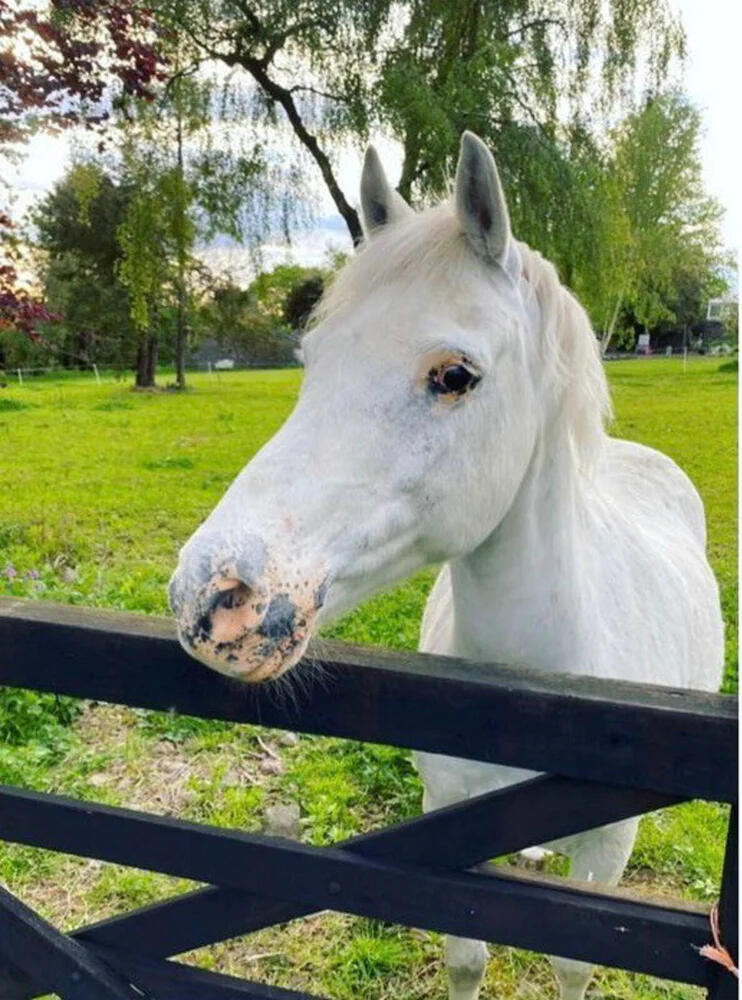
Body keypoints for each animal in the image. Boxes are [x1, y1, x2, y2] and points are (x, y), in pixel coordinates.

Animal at [169, 131, 724, 1000]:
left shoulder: (603, 857)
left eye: (455, 375)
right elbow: (466, 956)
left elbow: (573, 963)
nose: (213, 598)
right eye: (313, 357)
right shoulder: (443, 824)